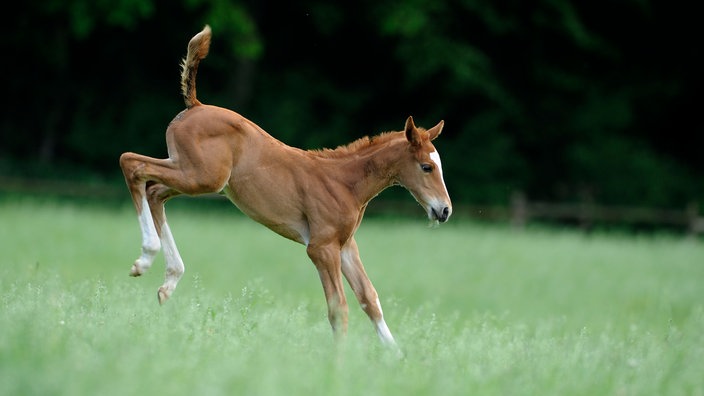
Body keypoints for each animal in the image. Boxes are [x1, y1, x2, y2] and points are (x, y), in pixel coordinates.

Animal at [119, 25, 454, 346]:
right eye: (426, 167)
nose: (445, 210)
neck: (345, 184)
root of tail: (195, 105)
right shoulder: (321, 248)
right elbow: (339, 309)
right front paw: (339, 361)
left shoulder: (345, 245)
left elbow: (370, 299)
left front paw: (397, 357)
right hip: (201, 176)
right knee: (132, 164)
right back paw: (146, 259)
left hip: (193, 175)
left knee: (154, 191)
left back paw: (168, 282)